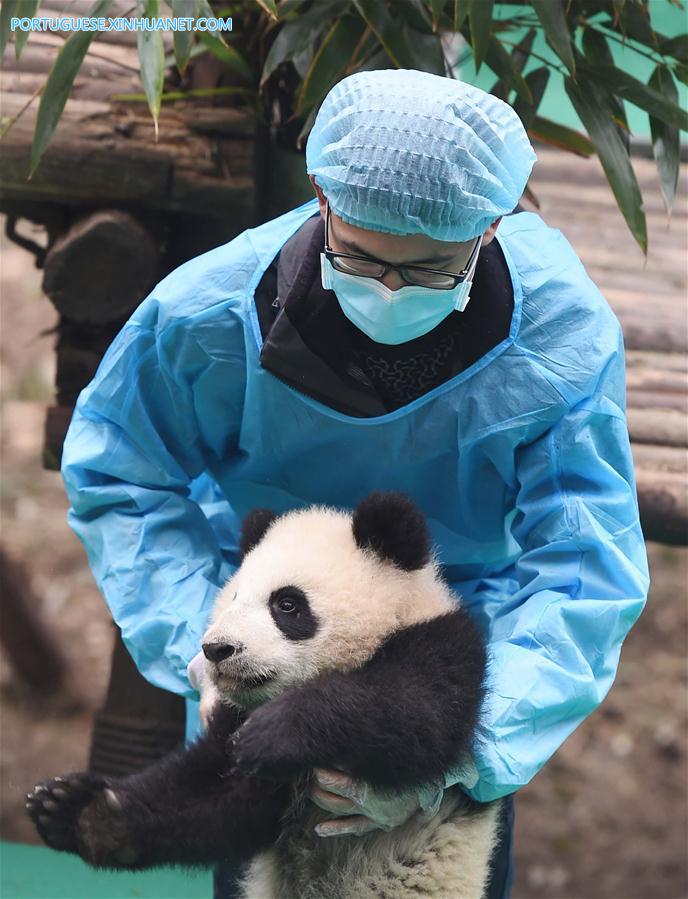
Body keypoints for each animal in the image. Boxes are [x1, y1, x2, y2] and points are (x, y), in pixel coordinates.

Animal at [27, 491, 502, 899]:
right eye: (233, 596)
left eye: (287, 604)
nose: (217, 650)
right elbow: (216, 796)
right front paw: (80, 812)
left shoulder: (442, 648)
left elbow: (413, 716)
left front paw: (274, 733)